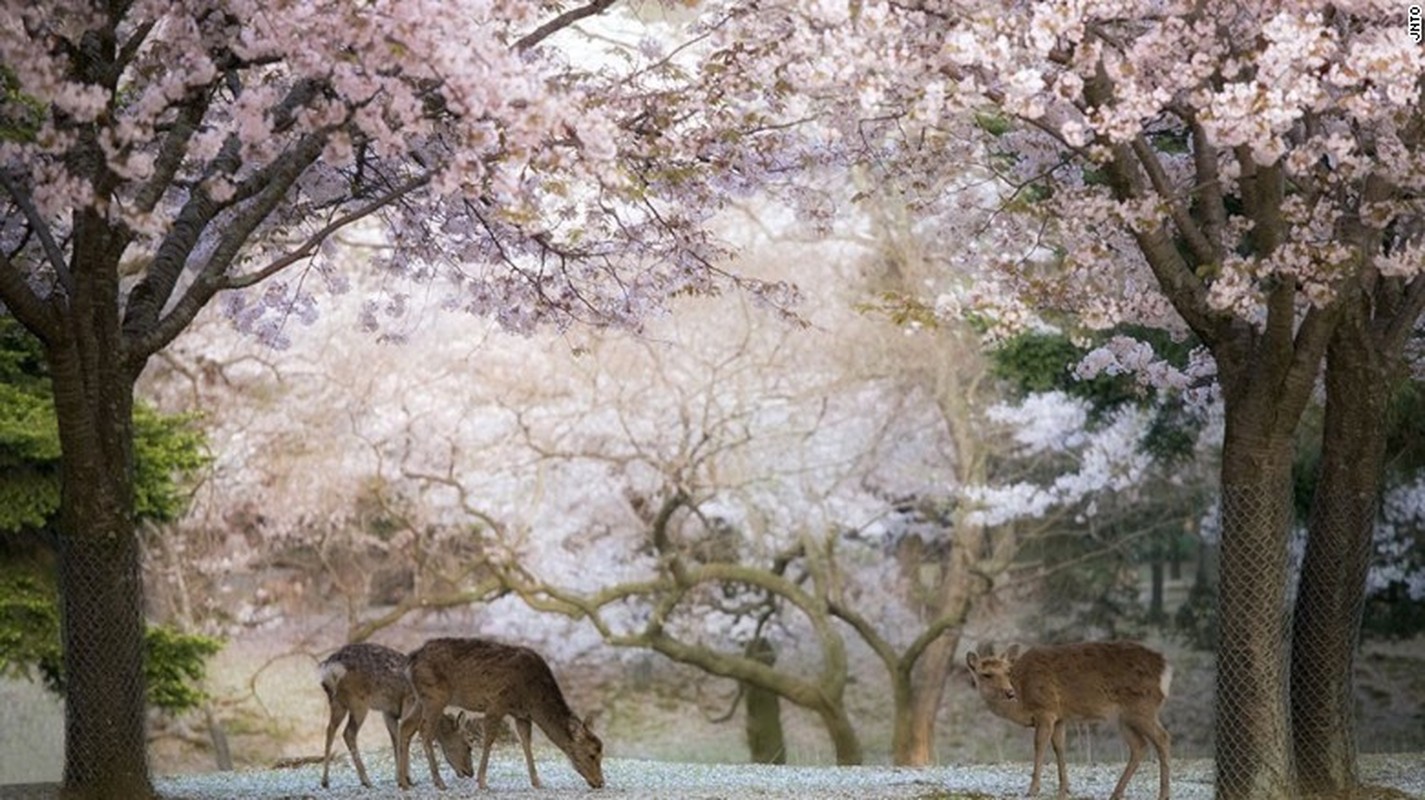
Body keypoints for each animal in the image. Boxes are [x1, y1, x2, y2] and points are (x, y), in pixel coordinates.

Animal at [319, 641, 478, 787]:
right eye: (468, 744)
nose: (470, 772)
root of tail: (330, 669)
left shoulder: (389, 712)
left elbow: (396, 739)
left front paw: (400, 777)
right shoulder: (409, 702)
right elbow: (406, 735)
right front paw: (407, 779)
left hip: (337, 702)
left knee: (330, 730)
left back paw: (325, 781)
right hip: (358, 702)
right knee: (348, 733)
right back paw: (366, 780)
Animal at [396, 633, 607, 787]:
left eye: (601, 753)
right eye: (592, 754)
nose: (600, 782)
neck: (533, 699)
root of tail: (411, 661)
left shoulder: (522, 715)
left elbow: (526, 743)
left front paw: (537, 782)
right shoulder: (498, 703)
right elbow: (489, 739)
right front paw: (482, 782)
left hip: (421, 698)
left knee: (406, 727)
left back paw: (404, 782)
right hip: (435, 696)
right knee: (425, 731)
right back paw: (438, 782)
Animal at [963, 638, 1174, 798]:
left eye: (1007, 672)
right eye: (986, 674)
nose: (1009, 693)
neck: (1022, 702)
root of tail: (1165, 669)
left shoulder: (1046, 709)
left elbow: (1039, 746)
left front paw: (1033, 790)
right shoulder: (1060, 717)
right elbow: (1059, 748)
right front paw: (1064, 789)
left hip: (1141, 707)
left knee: (1162, 738)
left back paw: (1163, 794)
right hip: (1125, 716)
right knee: (1139, 746)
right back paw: (1117, 793)